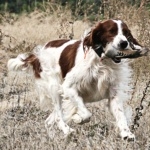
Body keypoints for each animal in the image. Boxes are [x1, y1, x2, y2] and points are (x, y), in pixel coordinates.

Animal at [7, 19, 148, 140]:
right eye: (111, 31)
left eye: (125, 33)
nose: (124, 43)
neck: (102, 62)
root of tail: (37, 55)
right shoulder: (68, 87)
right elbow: (86, 114)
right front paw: (77, 119)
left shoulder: (114, 93)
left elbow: (120, 115)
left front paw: (126, 133)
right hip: (54, 87)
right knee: (58, 116)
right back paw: (67, 130)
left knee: (50, 120)